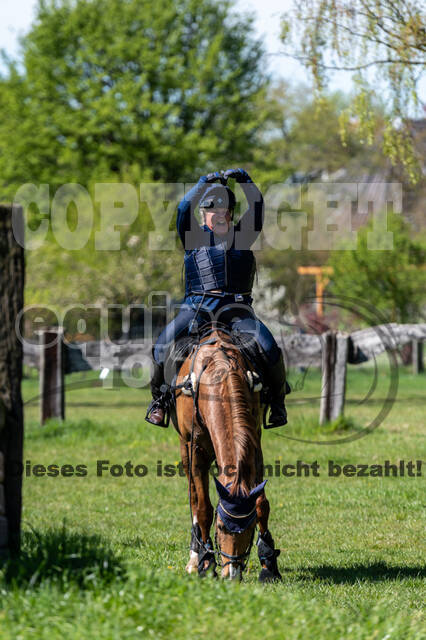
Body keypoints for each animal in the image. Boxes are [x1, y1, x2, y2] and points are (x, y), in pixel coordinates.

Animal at [171, 328, 282, 584]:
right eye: (220, 527)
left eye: (250, 528)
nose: (231, 574)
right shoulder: (195, 449)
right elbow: (203, 508)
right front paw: (205, 563)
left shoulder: (254, 442)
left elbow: (261, 503)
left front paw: (268, 564)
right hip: (184, 449)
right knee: (193, 498)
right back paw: (195, 556)